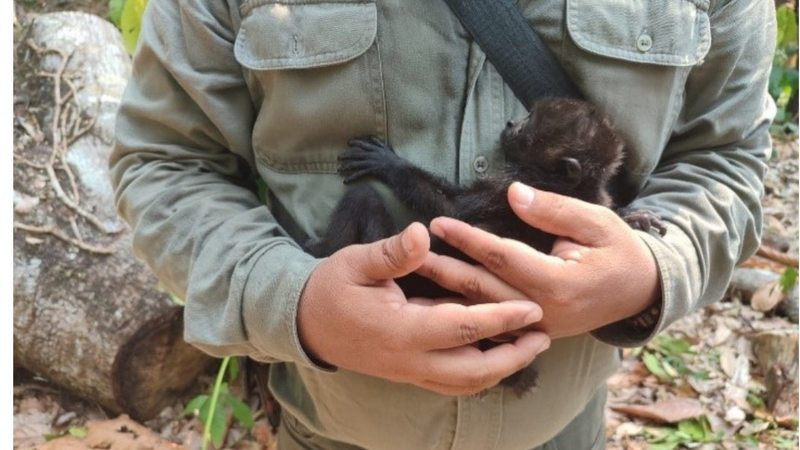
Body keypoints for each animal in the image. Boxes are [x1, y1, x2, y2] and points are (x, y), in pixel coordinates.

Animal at [303, 97, 667, 395]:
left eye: (529, 123)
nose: (510, 123)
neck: (572, 186)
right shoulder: (594, 199)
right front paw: (634, 218)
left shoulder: (513, 185)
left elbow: (451, 213)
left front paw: (389, 164)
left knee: (361, 198)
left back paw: (321, 249)